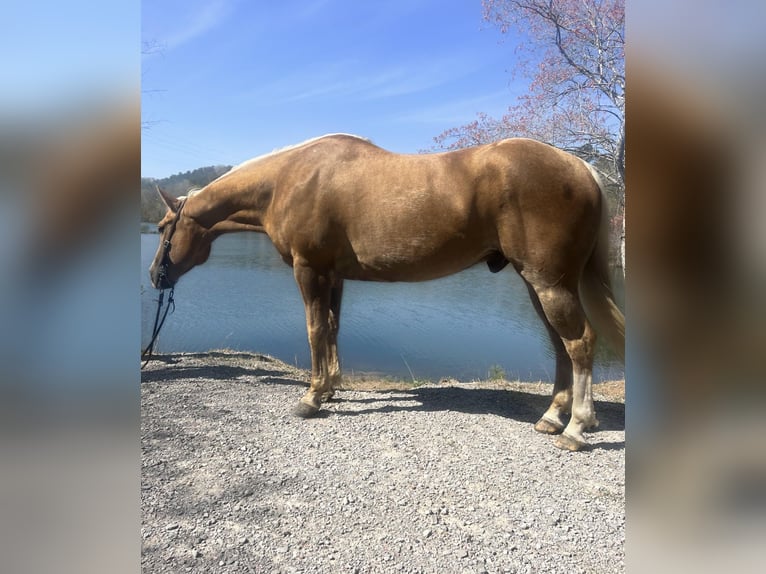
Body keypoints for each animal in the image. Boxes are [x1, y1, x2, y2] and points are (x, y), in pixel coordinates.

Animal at [148, 133, 624, 452]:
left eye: (162, 228)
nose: (155, 276)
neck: (292, 178)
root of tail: (580, 166)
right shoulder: (333, 276)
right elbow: (331, 328)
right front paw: (330, 388)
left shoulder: (309, 270)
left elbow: (315, 329)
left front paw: (310, 398)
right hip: (539, 283)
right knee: (561, 346)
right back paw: (552, 417)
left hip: (548, 283)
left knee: (580, 343)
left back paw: (577, 428)